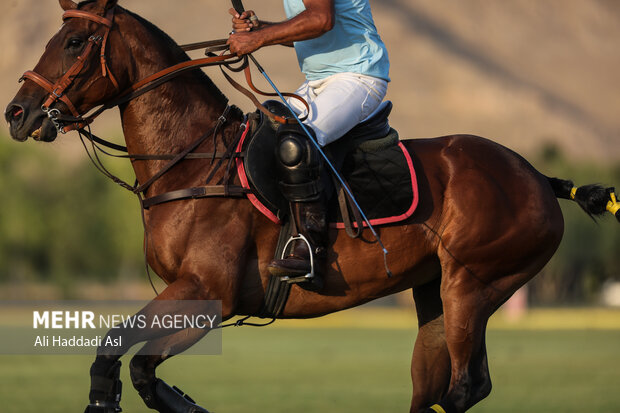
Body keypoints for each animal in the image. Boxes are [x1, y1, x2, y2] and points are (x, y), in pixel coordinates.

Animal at [4, 0, 620, 412]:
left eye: (75, 43)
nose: (17, 113)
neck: (192, 160)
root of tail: (535, 175)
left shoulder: (208, 294)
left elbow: (126, 356)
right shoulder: (190, 295)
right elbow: (131, 364)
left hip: (476, 282)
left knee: (467, 386)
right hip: (434, 293)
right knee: (433, 386)